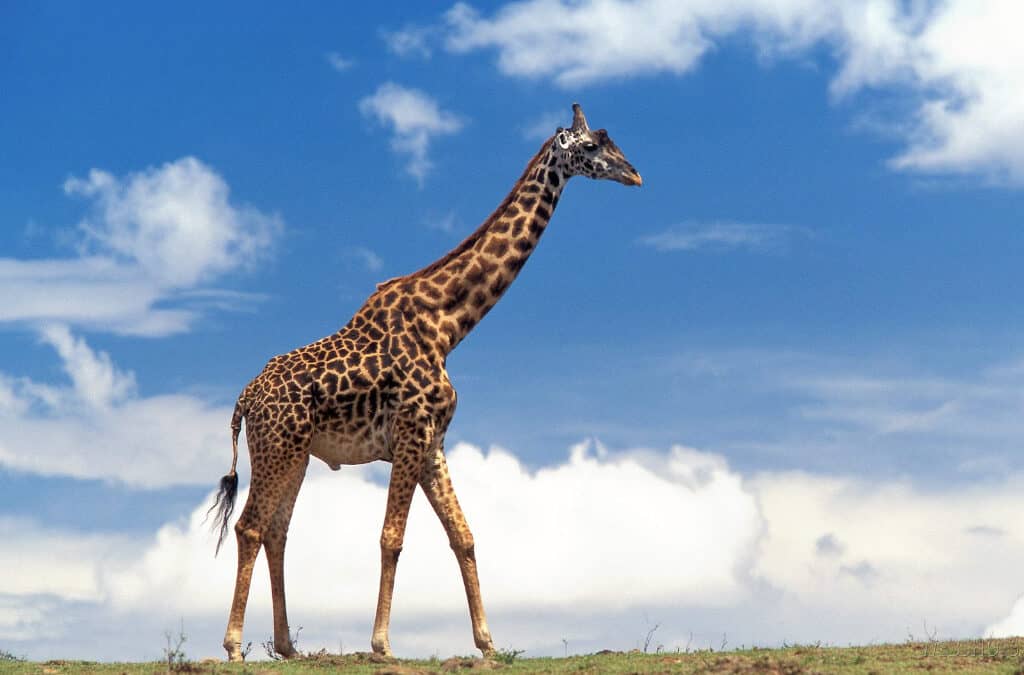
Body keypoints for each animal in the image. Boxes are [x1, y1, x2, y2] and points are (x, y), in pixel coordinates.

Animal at [208, 103, 642, 662]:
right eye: (591, 146)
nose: (634, 174)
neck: (450, 325)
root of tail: (243, 399)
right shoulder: (411, 432)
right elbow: (392, 536)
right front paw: (381, 644)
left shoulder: (433, 441)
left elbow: (464, 536)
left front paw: (487, 643)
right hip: (277, 447)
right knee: (250, 526)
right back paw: (235, 646)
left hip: (295, 454)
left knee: (277, 532)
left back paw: (287, 647)